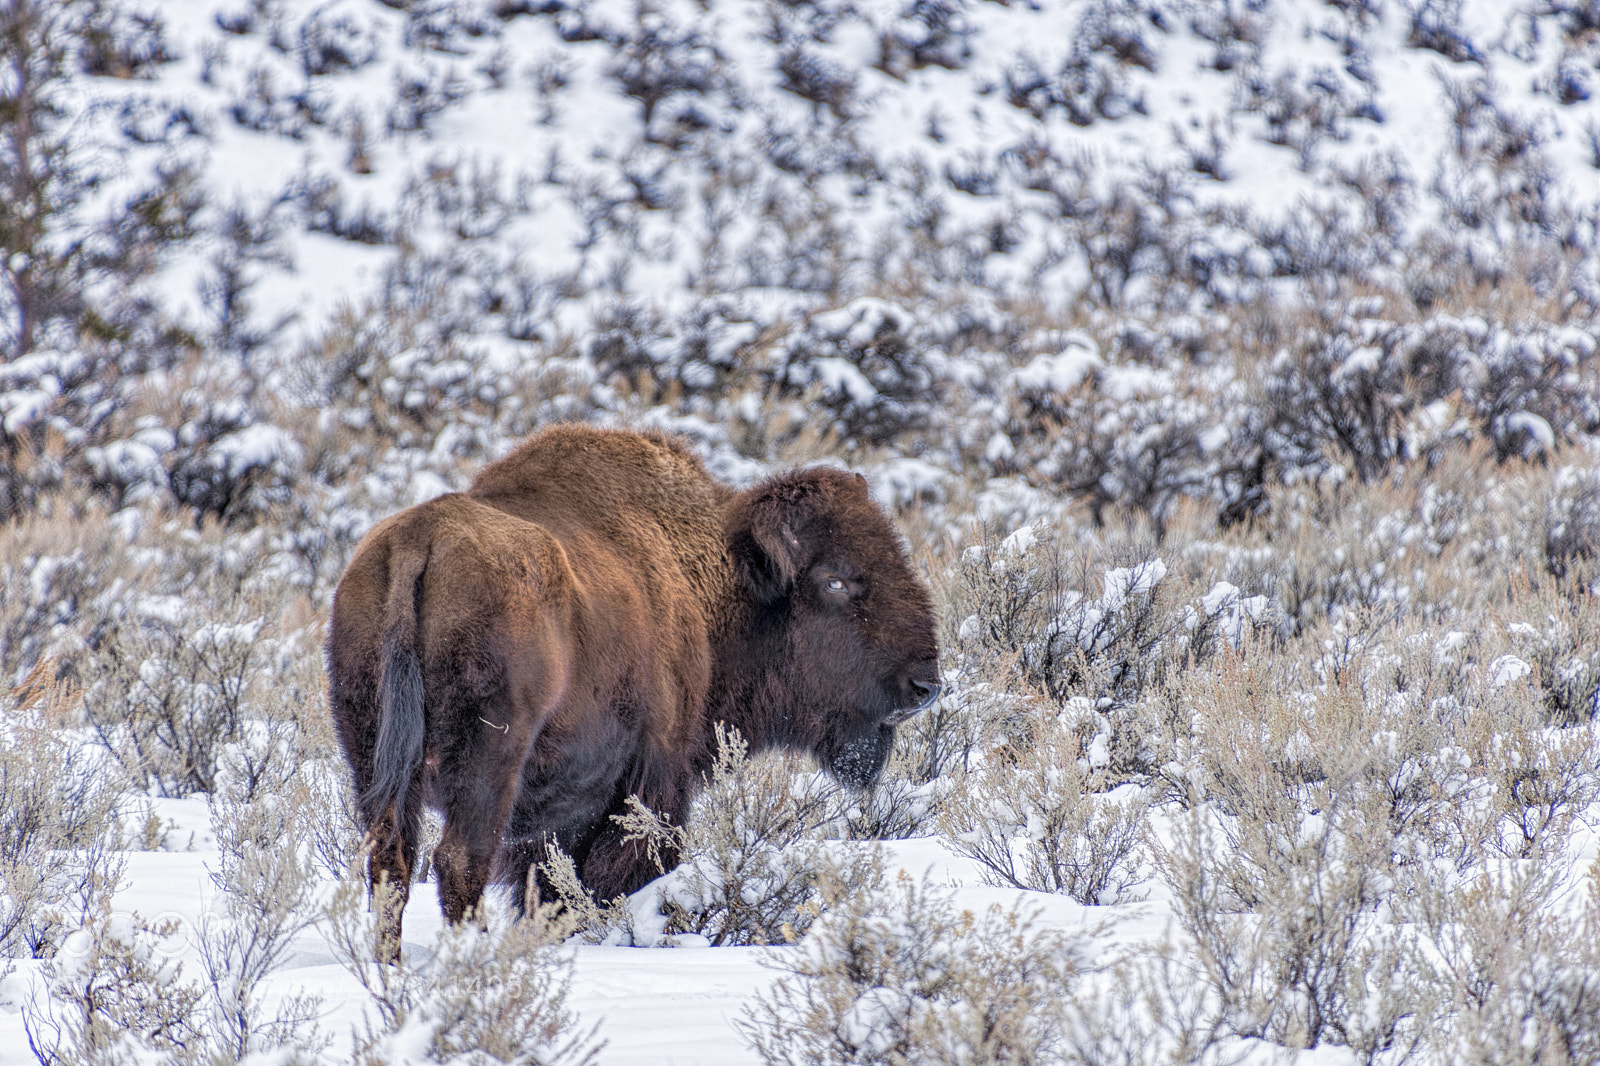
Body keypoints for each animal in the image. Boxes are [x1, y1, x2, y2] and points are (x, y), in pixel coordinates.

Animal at [327, 425, 940, 957]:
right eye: (834, 580)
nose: (925, 684)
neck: (713, 580)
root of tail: (418, 541)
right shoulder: (652, 778)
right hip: (489, 760)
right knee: (458, 860)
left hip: (373, 759)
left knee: (390, 860)